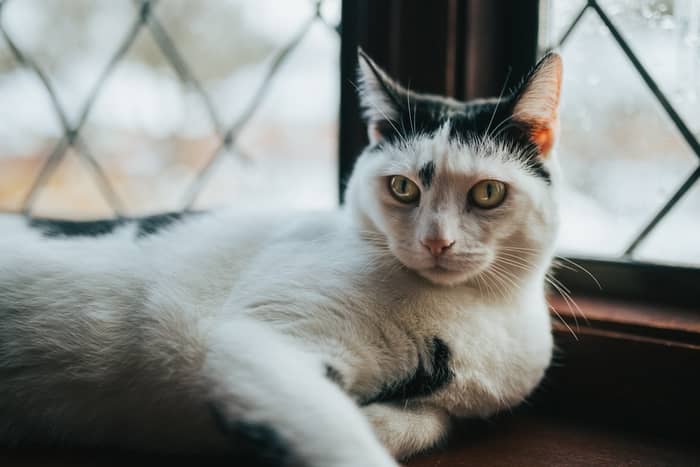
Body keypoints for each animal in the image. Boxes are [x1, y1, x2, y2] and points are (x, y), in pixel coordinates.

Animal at [0, 51, 564, 467]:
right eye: (403, 188)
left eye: (487, 193)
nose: (436, 242)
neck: (479, 313)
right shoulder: (262, 342)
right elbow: (339, 437)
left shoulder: (447, 406)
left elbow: (428, 423)